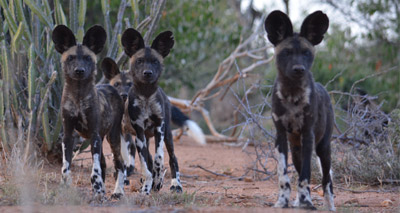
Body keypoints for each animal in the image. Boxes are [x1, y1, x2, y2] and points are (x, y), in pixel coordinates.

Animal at [52, 25, 126, 200]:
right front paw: (64, 188)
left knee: (120, 165)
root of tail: (112, 87)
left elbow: (96, 169)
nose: (79, 70)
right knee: (105, 163)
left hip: (112, 138)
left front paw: (98, 188)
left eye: (87, 58)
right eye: (71, 58)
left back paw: (117, 191)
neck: (79, 95)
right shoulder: (68, 135)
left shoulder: (94, 135)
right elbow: (65, 167)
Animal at [119, 27, 181, 194]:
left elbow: (159, 159)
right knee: (147, 159)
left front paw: (158, 181)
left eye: (155, 62)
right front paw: (147, 187)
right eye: (139, 61)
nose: (147, 73)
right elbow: (146, 166)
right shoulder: (139, 133)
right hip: (143, 138)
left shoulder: (160, 127)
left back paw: (176, 184)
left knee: (173, 159)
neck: (146, 95)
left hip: (168, 136)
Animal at [266, 10, 334, 211]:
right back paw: (297, 201)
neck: (292, 94)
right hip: (296, 149)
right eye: (287, 53)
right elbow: (283, 176)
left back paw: (329, 206)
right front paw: (283, 202)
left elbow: (305, 176)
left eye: (306, 53)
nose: (298, 69)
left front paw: (307, 202)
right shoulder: (280, 136)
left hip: (323, 149)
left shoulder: (308, 135)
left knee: (327, 180)